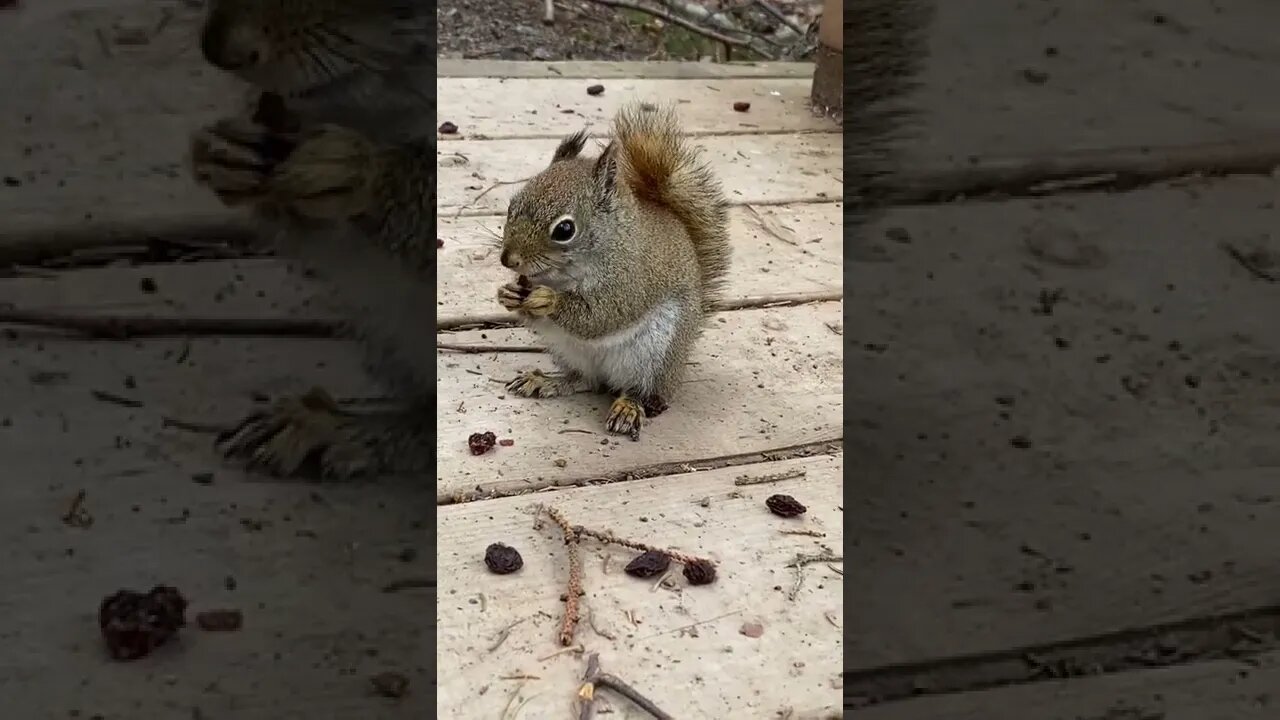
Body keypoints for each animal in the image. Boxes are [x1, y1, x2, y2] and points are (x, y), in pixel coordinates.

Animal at [496, 103, 730, 439]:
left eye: (564, 230)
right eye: (511, 206)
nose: (508, 260)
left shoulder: (631, 281)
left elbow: (602, 315)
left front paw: (548, 300)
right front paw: (509, 293)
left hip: (654, 355)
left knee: (639, 390)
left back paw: (629, 407)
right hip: (567, 349)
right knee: (585, 380)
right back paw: (549, 381)